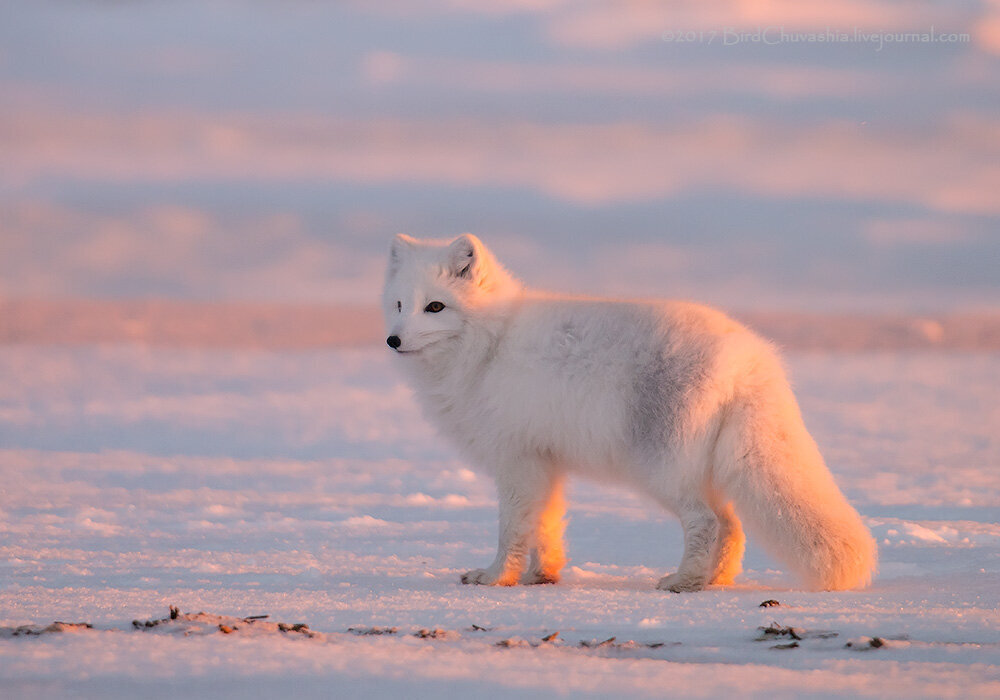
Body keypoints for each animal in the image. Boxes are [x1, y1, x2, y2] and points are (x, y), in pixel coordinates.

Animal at [382, 234, 876, 592]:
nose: (393, 340)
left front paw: (495, 577)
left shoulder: (516, 461)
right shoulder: (544, 461)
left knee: (707, 521)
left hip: (662, 468)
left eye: (435, 306)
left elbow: (514, 529)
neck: (491, 344)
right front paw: (542, 576)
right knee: (733, 525)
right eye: (399, 305)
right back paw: (717, 581)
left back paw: (685, 582)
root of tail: (751, 357)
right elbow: (546, 526)